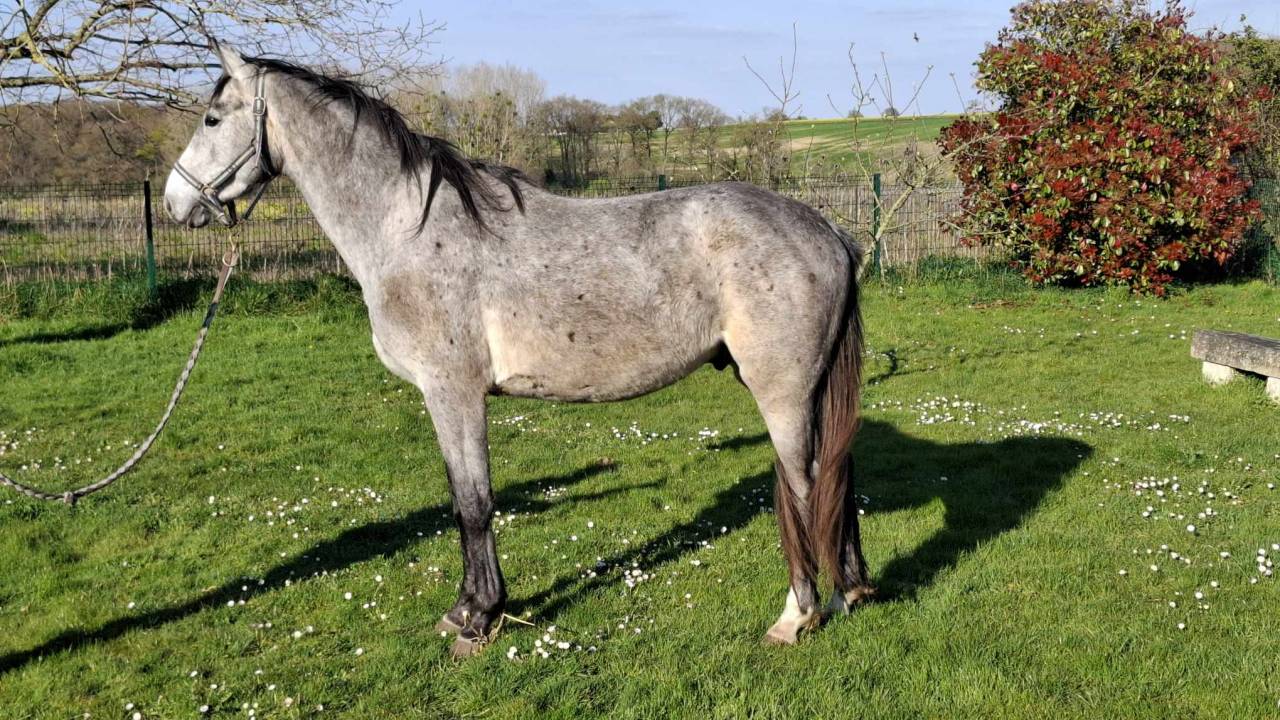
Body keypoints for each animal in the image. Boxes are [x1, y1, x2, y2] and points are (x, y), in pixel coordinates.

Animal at [164, 42, 873, 656]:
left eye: (212, 117)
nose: (175, 202)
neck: (408, 228)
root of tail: (829, 231)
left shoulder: (452, 393)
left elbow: (474, 504)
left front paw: (479, 618)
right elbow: (462, 502)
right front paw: (466, 609)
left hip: (782, 391)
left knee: (804, 486)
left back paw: (798, 614)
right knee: (836, 476)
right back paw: (851, 591)